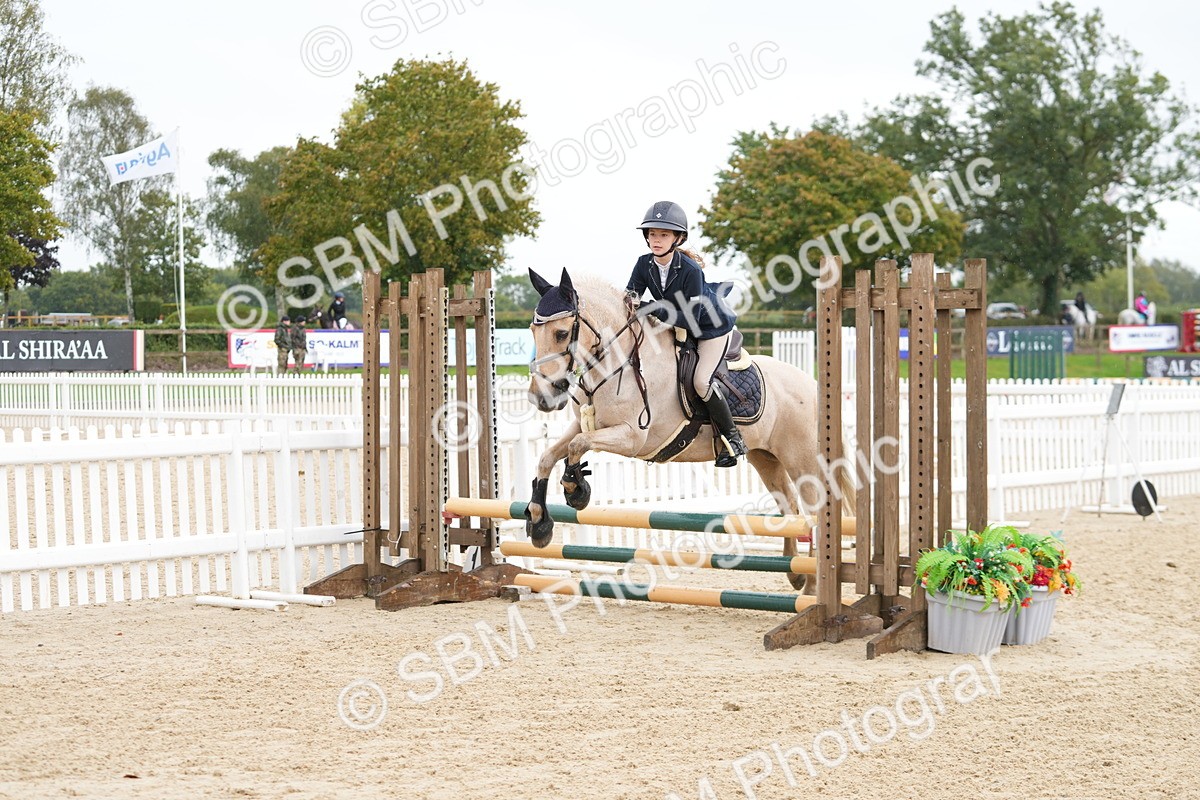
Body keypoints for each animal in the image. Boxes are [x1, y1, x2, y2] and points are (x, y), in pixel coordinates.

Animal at [523, 268, 856, 592]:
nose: (542, 398)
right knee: (790, 507)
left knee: (814, 511)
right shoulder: (584, 425)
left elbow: (577, 446)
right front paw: (539, 524)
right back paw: (796, 575)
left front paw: (576, 490)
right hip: (765, 457)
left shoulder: (632, 437)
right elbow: (549, 455)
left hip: (803, 460)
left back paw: (812, 586)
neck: (618, 363)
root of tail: (814, 385)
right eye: (533, 331)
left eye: (561, 333)